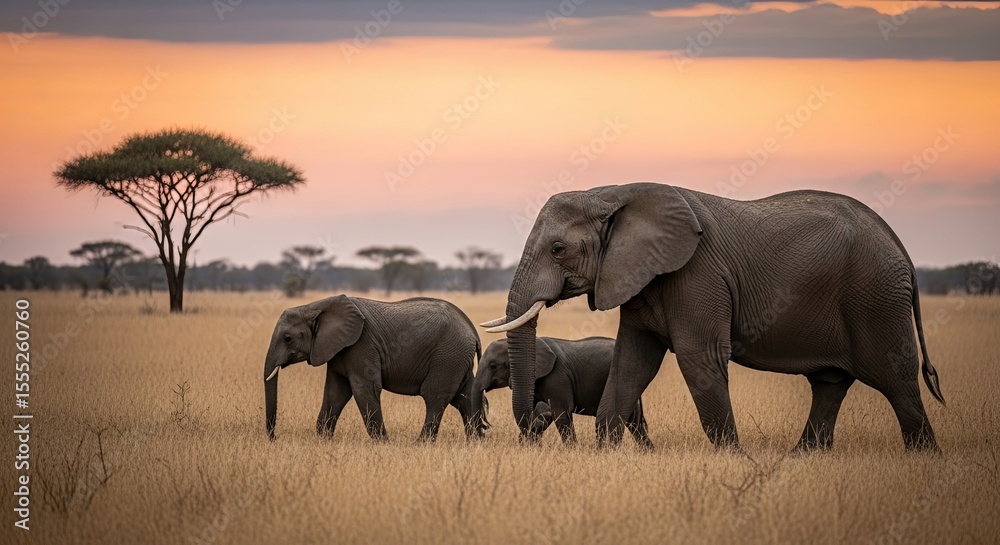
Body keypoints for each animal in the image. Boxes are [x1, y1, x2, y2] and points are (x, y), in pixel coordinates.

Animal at [263, 295, 484, 442]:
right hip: (457, 359)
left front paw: (383, 444)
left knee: (434, 397)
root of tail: (472, 330)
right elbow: (335, 393)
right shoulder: (337, 349)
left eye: (288, 339)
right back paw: (475, 443)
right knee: (465, 398)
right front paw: (323, 440)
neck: (314, 306)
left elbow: (364, 389)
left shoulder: (360, 345)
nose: (274, 438)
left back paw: (421, 444)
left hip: (448, 357)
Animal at [473, 336, 652, 447]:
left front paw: (572, 450)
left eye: (493, 366)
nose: (486, 427)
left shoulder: (557, 378)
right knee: (635, 422)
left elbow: (561, 412)